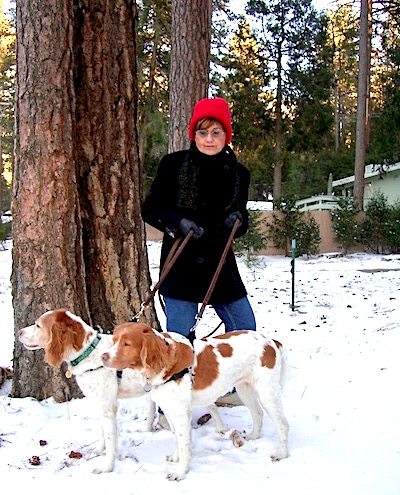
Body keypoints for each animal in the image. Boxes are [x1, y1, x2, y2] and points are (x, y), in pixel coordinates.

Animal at [17, 308, 155, 474]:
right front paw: (98, 450)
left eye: (38, 325)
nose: (18, 332)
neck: (88, 353)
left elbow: (110, 439)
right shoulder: (103, 405)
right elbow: (103, 433)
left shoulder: (107, 408)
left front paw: (107, 467)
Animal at [101, 322, 290, 480]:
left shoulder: (181, 413)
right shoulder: (170, 410)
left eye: (127, 344)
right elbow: (176, 438)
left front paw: (180, 473)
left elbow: (184, 444)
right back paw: (254, 436)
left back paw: (282, 453)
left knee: (283, 424)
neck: (166, 363)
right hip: (245, 389)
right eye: (114, 340)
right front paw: (175, 458)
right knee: (257, 413)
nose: (103, 356)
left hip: (267, 393)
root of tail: (271, 341)